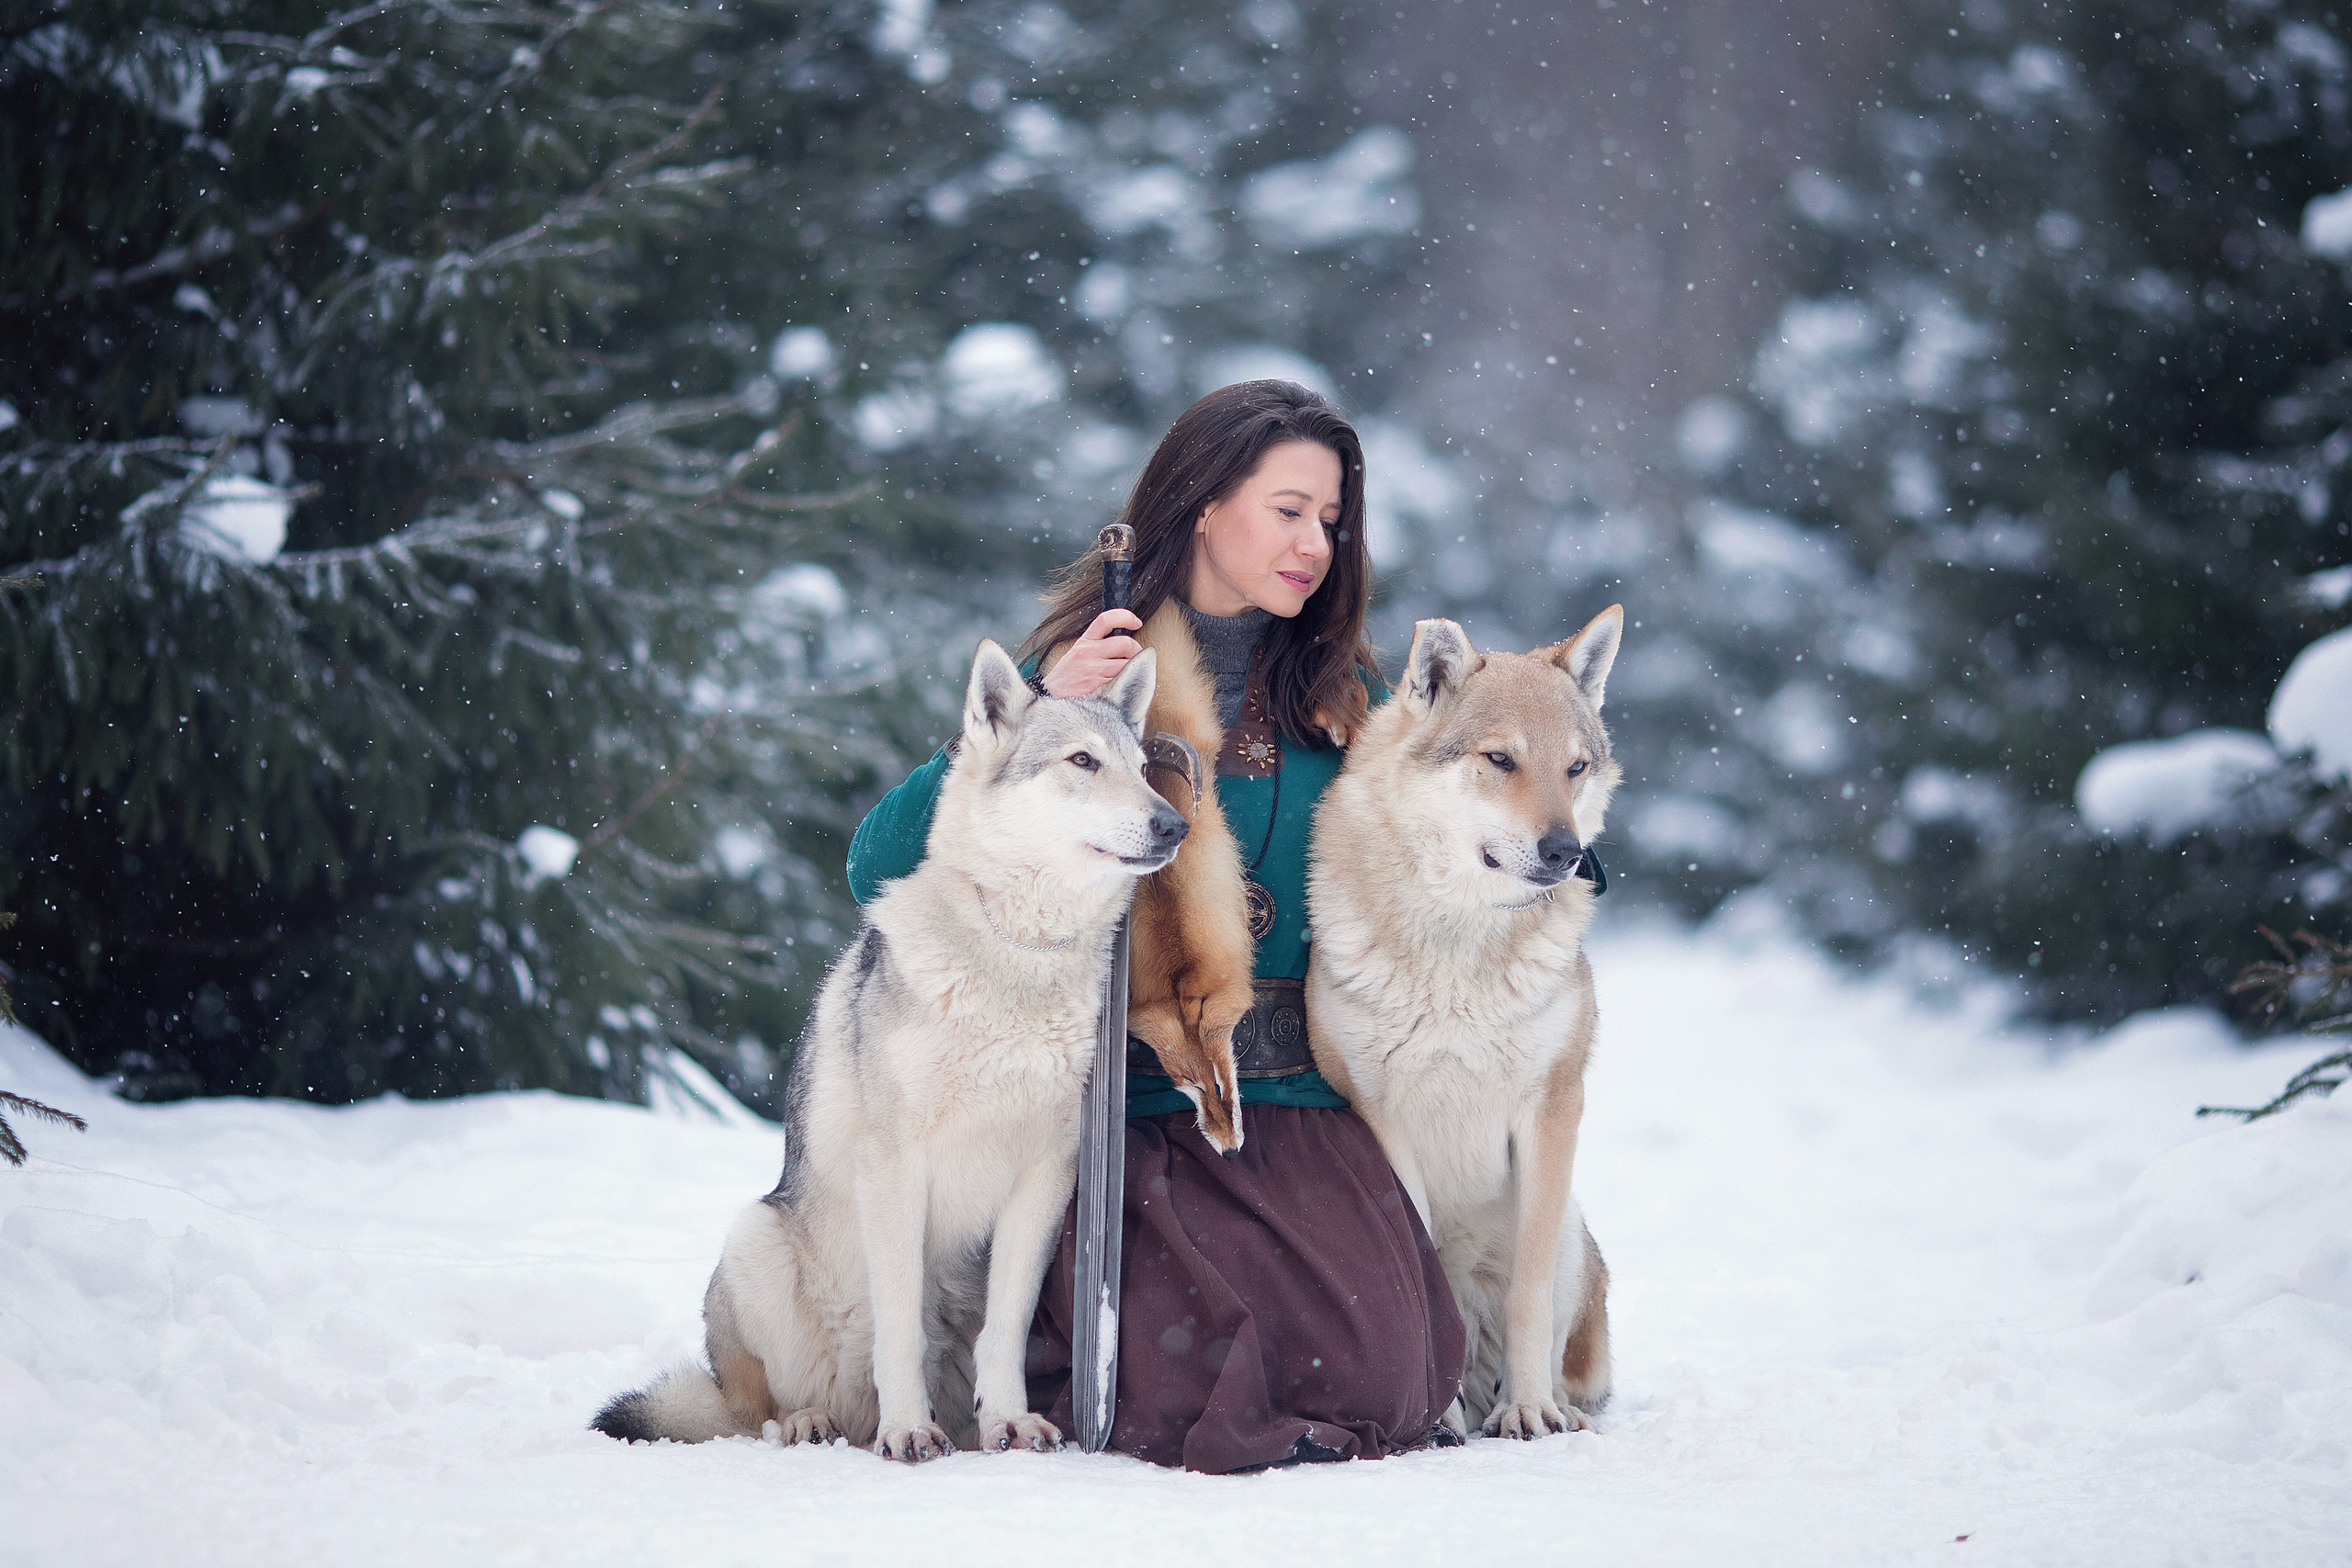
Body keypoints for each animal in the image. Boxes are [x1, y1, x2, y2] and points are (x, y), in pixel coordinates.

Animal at [593, 639, 1184, 1460]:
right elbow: (899, 1328)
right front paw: (908, 1431)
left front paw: (1010, 1422)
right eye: (1082, 761)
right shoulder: (896, 1167)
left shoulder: (1046, 1177)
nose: (1174, 825)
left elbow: (1005, 1331)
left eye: (1141, 765)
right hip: (754, 1240)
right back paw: (816, 1423)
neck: (1017, 956)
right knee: (757, 1412)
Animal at [1305, 607, 1623, 1439]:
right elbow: (1428, 1290)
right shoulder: (1385, 1119)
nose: (1565, 851)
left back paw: (1543, 1408)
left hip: (1573, 1226)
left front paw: (1529, 1409)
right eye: (1501, 759)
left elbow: (1527, 1295)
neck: (1458, 947)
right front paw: (1437, 1419)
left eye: (1575, 767)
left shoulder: (1551, 1107)